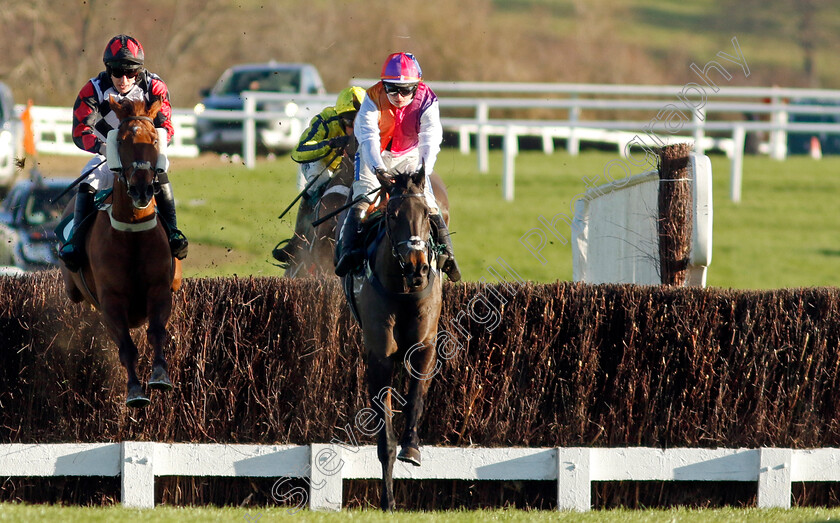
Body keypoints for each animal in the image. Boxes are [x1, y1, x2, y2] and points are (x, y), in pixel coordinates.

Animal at [59, 97, 184, 410]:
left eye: (154, 139)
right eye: (123, 141)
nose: (141, 189)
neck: (132, 233)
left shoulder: (159, 290)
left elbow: (157, 332)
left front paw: (160, 375)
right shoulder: (111, 301)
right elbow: (126, 346)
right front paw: (135, 391)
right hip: (73, 289)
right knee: (87, 183)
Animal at [342, 167, 446, 512]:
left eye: (427, 213)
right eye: (392, 214)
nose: (417, 266)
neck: (403, 289)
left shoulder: (425, 347)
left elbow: (415, 398)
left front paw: (411, 448)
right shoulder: (380, 356)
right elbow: (383, 432)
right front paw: (388, 500)